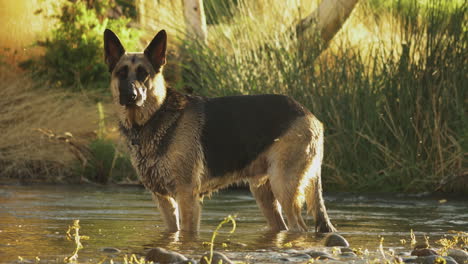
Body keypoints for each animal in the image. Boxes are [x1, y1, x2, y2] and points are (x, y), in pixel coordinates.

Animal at [104, 27, 336, 232]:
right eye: (121, 74)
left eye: (144, 74)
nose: (131, 96)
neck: (155, 114)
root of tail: (311, 115)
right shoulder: (164, 201)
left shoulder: (187, 198)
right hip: (263, 192)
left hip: (284, 186)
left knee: (299, 229)